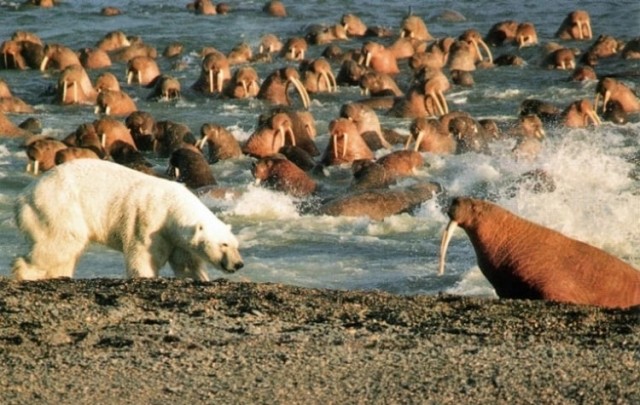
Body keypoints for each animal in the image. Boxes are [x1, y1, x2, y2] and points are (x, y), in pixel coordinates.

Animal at [12, 159, 244, 281]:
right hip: (59, 207)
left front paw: (200, 277)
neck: (171, 206)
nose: (239, 264)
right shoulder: (150, 222)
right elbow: (143, 257)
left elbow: (185, 262)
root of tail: (22, 196)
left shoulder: (176, 238)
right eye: (224, 245)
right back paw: (25, 273)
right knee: (61, 241)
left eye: (235, 245)